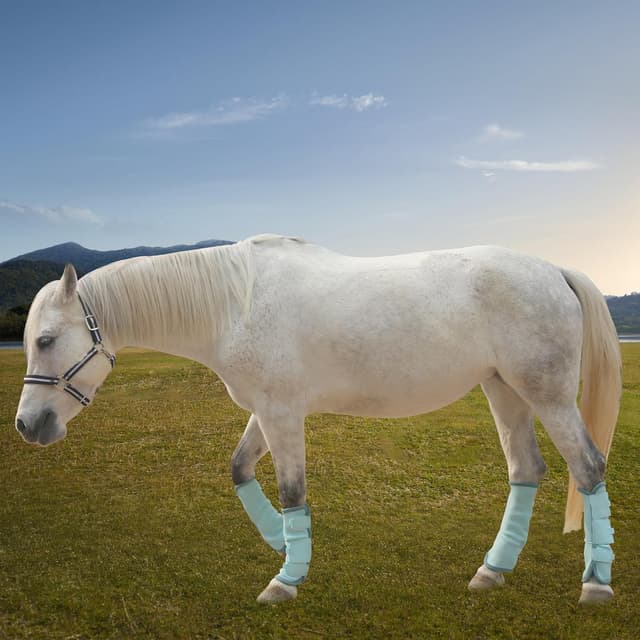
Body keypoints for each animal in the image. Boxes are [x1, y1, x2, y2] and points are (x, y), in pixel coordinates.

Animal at [15, 234, 621, 605]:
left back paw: (595, 585)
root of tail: (555, 270)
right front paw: (280, 545)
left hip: (547, 396)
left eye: (45, 340)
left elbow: (292, 492)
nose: (27, 425)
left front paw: (286, 579)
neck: (235, 303)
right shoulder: (265, 412)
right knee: (527, 470)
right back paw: (492, 572)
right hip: (504, 391)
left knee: (588, 467)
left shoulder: (283, 415)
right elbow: (239, 469)